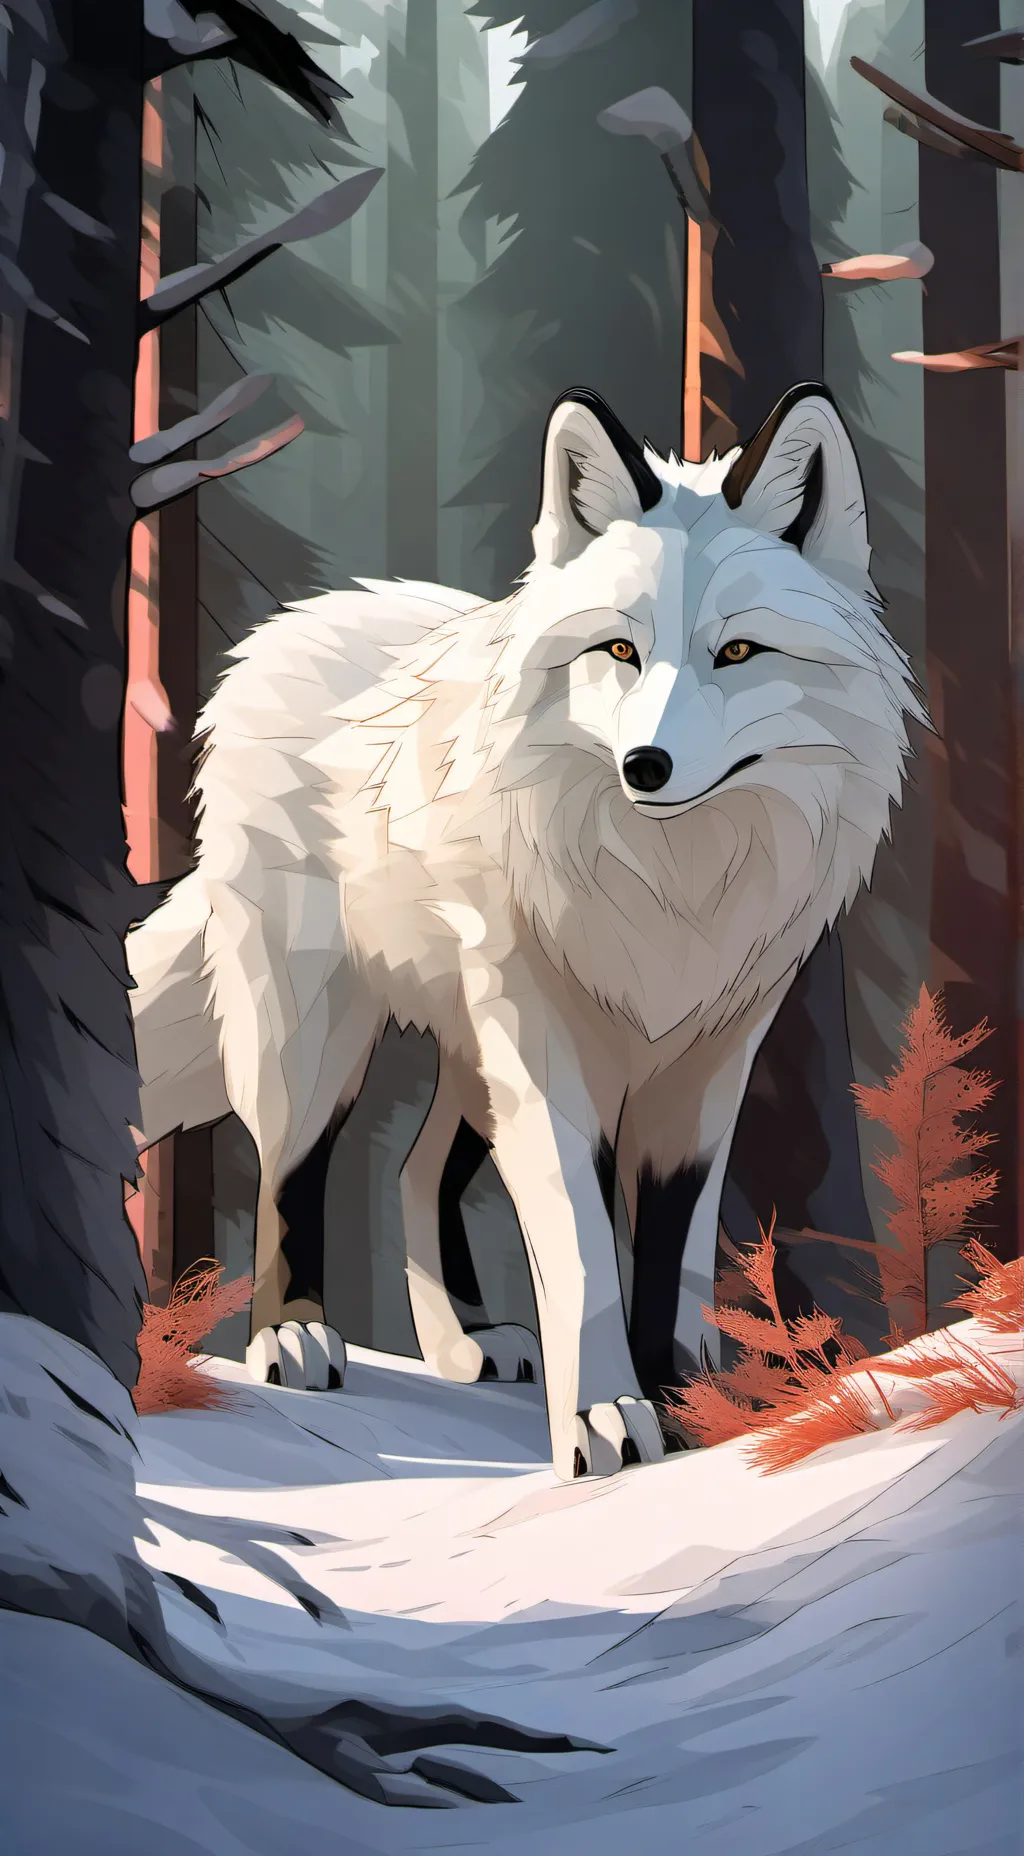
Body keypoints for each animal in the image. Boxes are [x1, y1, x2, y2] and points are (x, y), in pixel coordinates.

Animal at [126, 382, 926, 1482]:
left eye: (735, 652)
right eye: (620, 650)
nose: (645, 765)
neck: (671, 890)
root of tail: (289, 625)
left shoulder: (706, 1061)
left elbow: (670, 1252)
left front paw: (685, 1403)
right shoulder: (550, 1062)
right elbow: (582, 1251)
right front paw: (602, 1417)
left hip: (471, 1055)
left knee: (416, 1171)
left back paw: (464, 1339)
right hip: (320, 1036)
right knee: (291, 1169)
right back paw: (291, 1333)